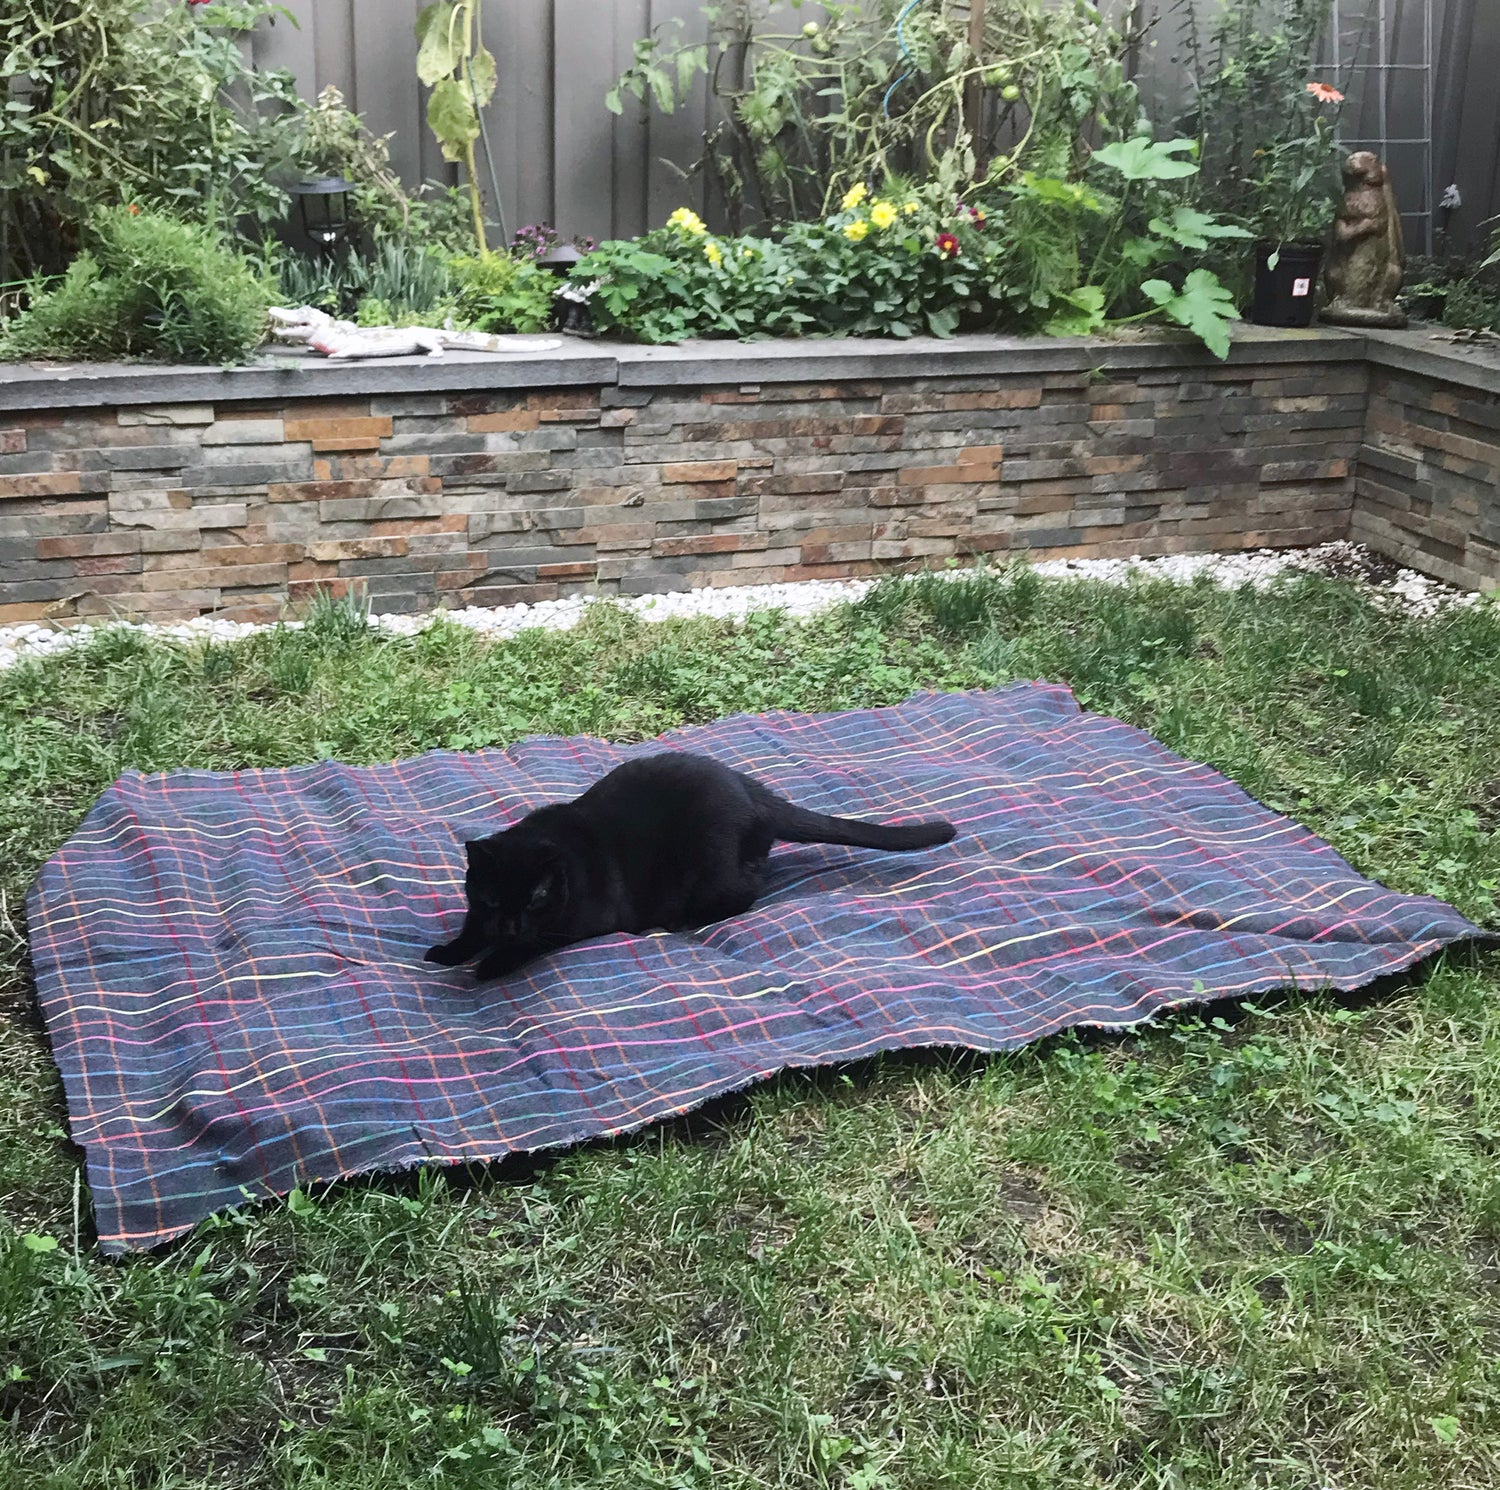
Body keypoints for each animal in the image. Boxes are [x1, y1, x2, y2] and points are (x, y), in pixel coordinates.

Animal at [429, 756, 954, 978]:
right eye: (492, 898)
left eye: (537, 898)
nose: (511, 925)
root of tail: (753, 793)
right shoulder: (478, 911)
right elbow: (470, 929)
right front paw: (449, 952)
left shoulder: (577, 924)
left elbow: (533, 945)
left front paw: (490, 965)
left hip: (715, 871)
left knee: (749, 889)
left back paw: (681, 919)